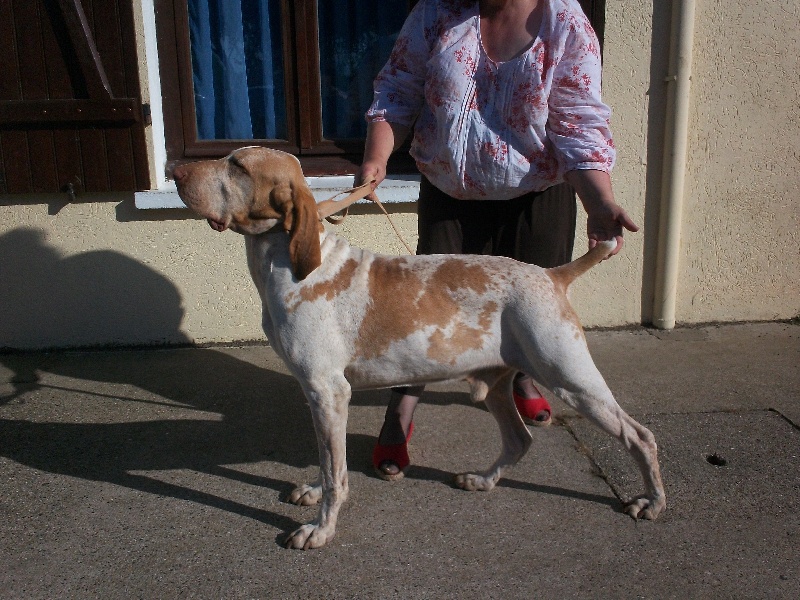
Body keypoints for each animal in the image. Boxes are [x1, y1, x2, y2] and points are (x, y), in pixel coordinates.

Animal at [177, 145, 668, 548]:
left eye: (238, 166)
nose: (176, 171)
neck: (294, 264)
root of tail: (553, 275)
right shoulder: (320, 398)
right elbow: (327, 461)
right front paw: (313, 494)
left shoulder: (328, 391)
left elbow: (336, 474)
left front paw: (321, 529)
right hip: (496, 385)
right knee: (519, 439)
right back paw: (483, 481)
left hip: (571, 378)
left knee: (640, 436)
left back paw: (651, 502)